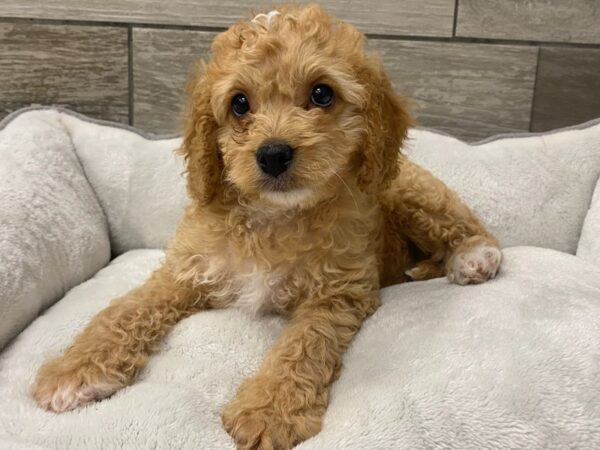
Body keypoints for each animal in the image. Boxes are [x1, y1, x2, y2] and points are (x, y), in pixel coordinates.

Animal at [32, 4, 502, 450]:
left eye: (321, 93)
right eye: (239, 103)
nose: (273, 154)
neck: (273, 216)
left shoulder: (338, 293)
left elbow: (303, 345)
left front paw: (270, 411)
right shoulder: (185, 270)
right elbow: (126, 308)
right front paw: (76, 369)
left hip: (407, 190)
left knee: (467, 226)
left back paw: (473, 258)